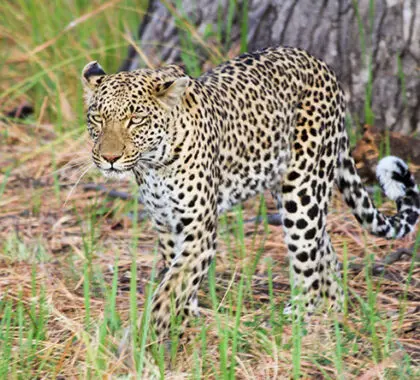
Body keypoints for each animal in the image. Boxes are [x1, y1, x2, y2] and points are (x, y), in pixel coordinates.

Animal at [82, 46, 420, 342]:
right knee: (327, 253)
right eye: (97, 118)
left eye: (135, 119)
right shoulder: (166, 224)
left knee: (309, 265)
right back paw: (333, 316)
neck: (154, 163)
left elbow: (174, 282)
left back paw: (296, 320)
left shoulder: (199, 228)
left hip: (302, 193)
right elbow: (179, 278)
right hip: (294, 193)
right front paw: (185, 321)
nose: (109, 158)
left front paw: (151, 329)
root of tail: (320, 63)